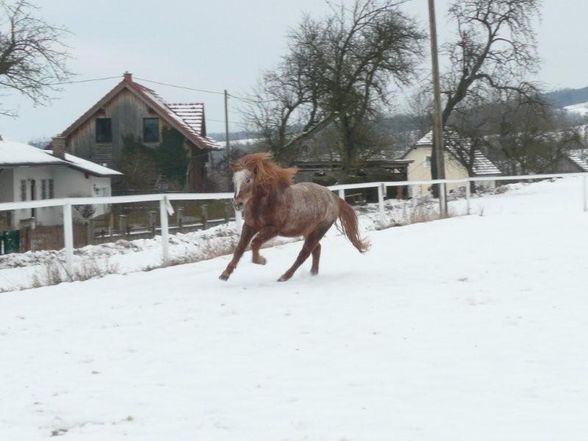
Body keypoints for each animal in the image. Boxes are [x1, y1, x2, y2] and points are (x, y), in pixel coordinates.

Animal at [218, 152, 370, 282]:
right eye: (234, 180)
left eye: (248, 180)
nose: (237, 203)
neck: (266, 202)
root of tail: (334, 198)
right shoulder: (249, 226)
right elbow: (239, 248)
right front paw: (225, 274)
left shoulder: (273, 229)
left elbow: (255, 243)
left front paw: (261, 260)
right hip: (308, 231)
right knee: (316, 249)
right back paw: (313, 273)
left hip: (318, 231)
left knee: (304, 254)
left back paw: (285, 276)